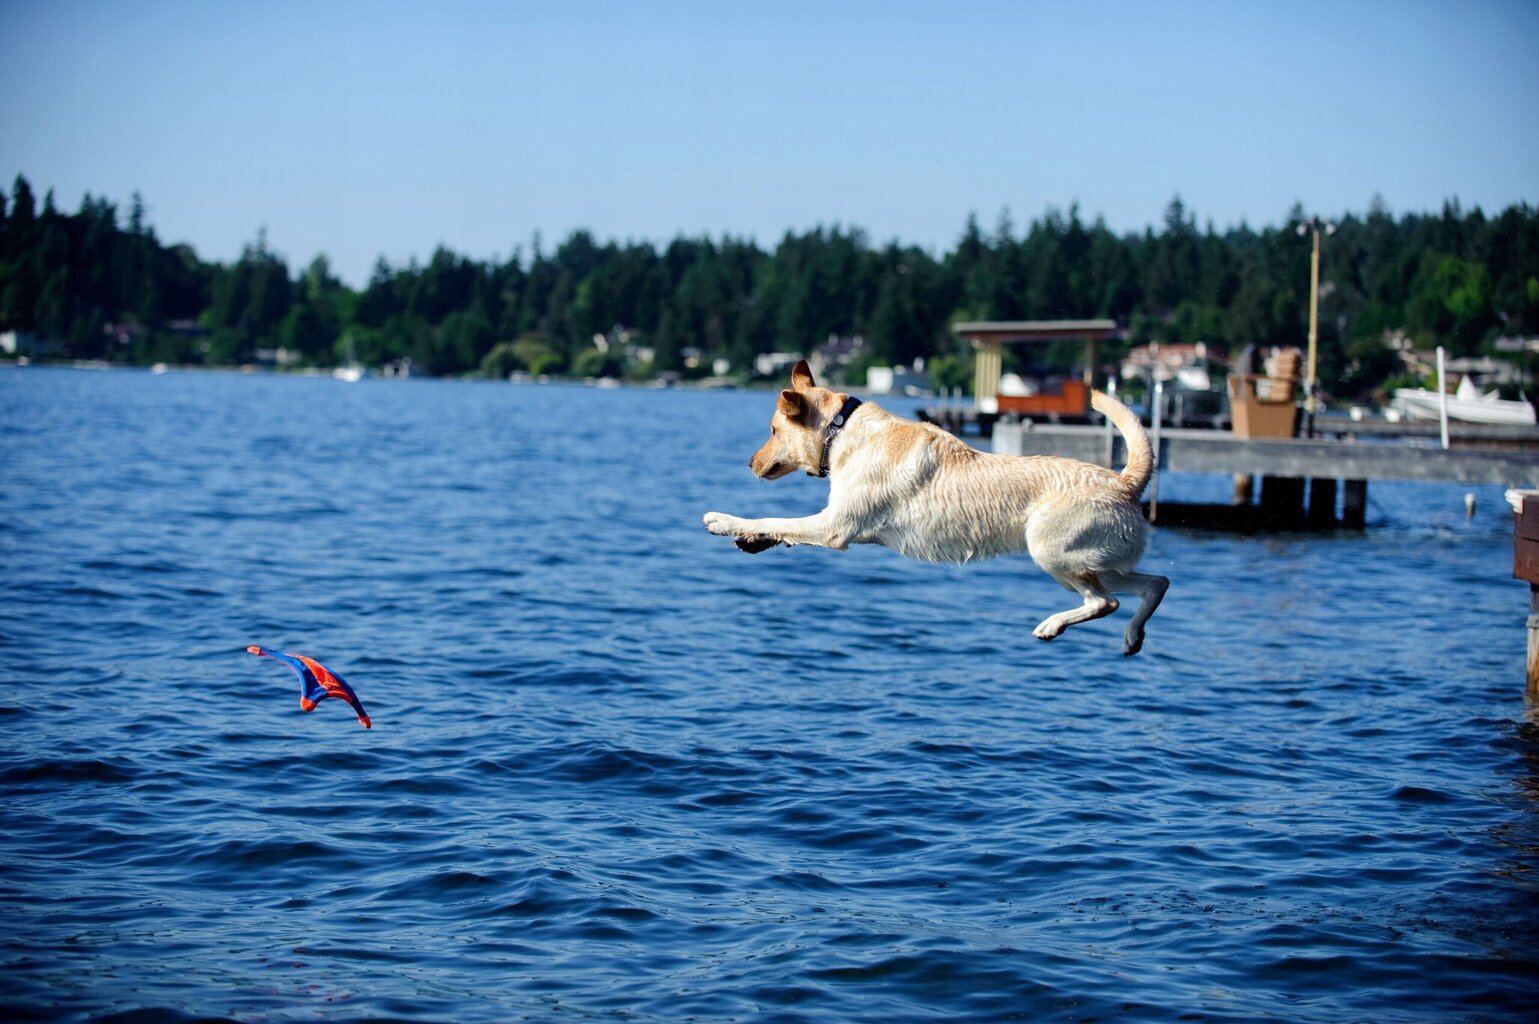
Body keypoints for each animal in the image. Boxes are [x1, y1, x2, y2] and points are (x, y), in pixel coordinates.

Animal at [704, 358, 1163, 655]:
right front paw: (749, 540)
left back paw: (1053, 626)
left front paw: (725, 521)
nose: (749, 463)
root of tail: (1125, 482)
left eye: (772, 430)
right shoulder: (837, 525)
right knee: (1155, 584)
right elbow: (781, 529)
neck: (842, 430)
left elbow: (773, 519)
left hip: (1053, 551)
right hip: (1096, 561)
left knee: (1105, 603)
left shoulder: (835, 526)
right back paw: (1133, 638)